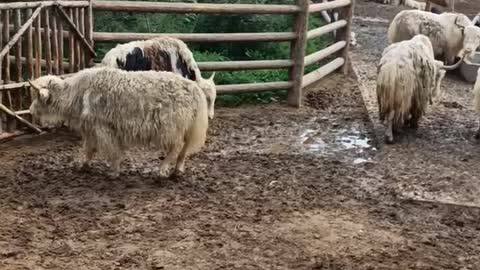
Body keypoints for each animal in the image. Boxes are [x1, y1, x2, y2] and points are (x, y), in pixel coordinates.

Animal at [27, 66, 211, 178]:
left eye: (37, 97)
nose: (30, 111)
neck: (77, 94)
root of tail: (195, 89)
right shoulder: (92, 129)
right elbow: (89, 148)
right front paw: (83, 165)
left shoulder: (102, 128)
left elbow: (111, 150)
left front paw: (114, 171)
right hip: (186, 127)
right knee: (185, 147)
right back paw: (177, 169)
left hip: (170, 127)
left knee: (177, 146)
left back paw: (162, 169)